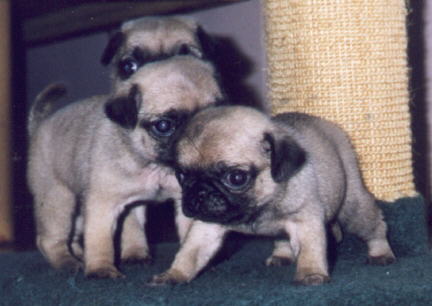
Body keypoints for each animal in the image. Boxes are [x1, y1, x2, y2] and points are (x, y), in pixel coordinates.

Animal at [27, 56, 223, 278]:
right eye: (164, 126)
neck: (155, 167)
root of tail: (40, 126)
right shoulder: (103, 204)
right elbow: (100, 239)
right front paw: (101, 269)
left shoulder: (185, 201)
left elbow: (188, 234)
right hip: (58, 199)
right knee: (50, 240)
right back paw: (66, 262)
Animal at [151, 106, 394, 286]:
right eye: (181, 175)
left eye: (236, 177)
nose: (199, 192)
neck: (259, 209)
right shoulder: (206, 226)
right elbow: (190, 253)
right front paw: (175, 274)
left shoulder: (305, 221)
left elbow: (310, 250)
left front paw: (310, 275)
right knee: (283, 239)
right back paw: (282, 255)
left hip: (353, 207)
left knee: (374, 228)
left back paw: (380, 253)